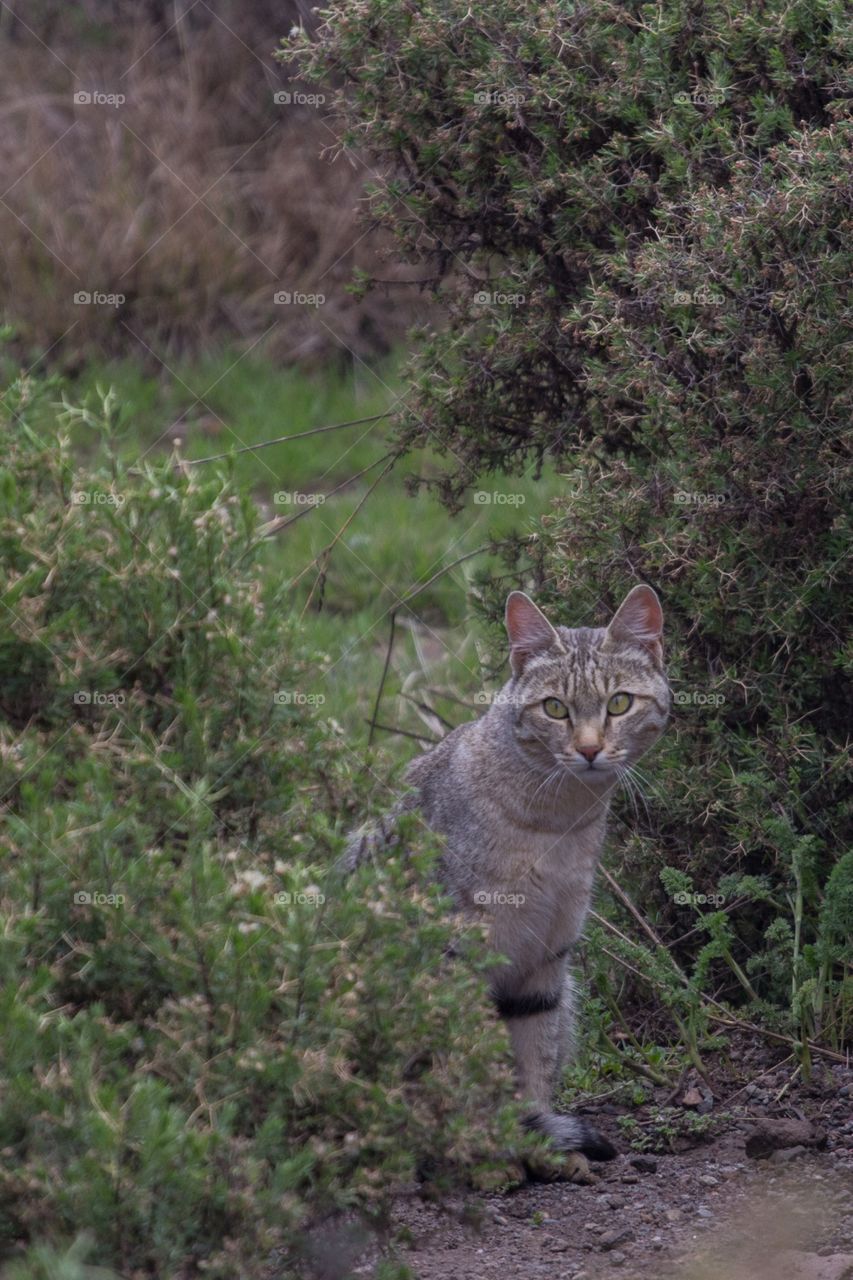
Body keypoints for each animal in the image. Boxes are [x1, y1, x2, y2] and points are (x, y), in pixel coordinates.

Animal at [343, 586, 666, 1167]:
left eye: (620, 703)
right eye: (555, 708)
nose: (588, 749)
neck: (556, 824)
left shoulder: (546, 960)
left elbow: (533, 1060)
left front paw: (534, 1144)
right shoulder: (457, 958)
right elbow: (465, 1064)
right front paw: (483, 1149)